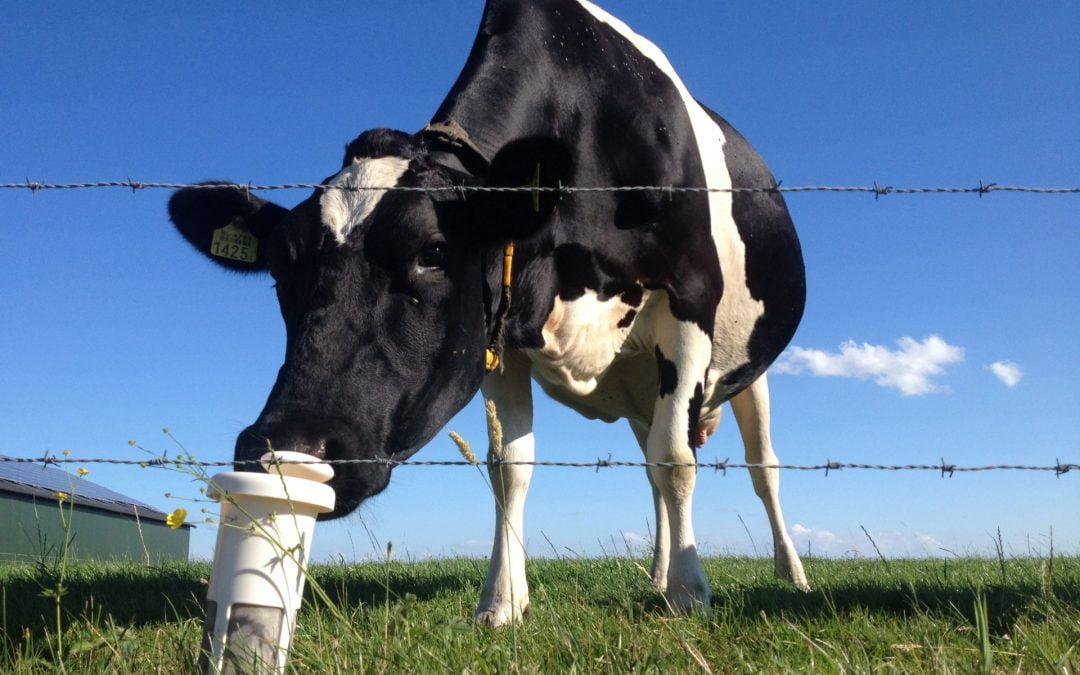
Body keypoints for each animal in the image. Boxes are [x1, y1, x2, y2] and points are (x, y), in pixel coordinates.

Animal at [168, 0, 807, 626]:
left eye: (433, 252)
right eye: (281, 269)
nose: (283, 446)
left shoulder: (688, 299)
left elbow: (676, 462)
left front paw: (691, 595)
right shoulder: (500, 335)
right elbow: (510, 468)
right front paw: (501, 601)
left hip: (749, 373)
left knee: (758, 468)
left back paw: (788, 574)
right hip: (641, 382)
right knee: (651, 463)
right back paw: (657, 571)